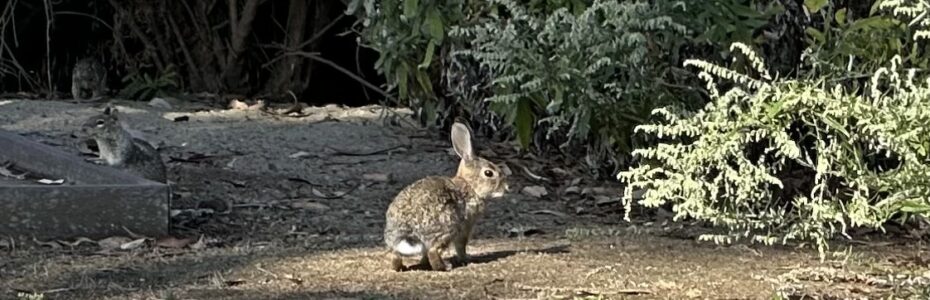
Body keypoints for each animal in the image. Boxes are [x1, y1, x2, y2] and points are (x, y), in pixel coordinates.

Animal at [380, 122, 508, 272]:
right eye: (489, 173)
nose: (506, 188)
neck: (470, 185)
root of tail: (406, 230)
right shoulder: (465, 226)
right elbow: (461, 246)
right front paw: (467, 259)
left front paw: (423, 263)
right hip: (447, 227)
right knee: (433, 250)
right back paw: (445, 267)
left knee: (397, 255)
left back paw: (401, 267)